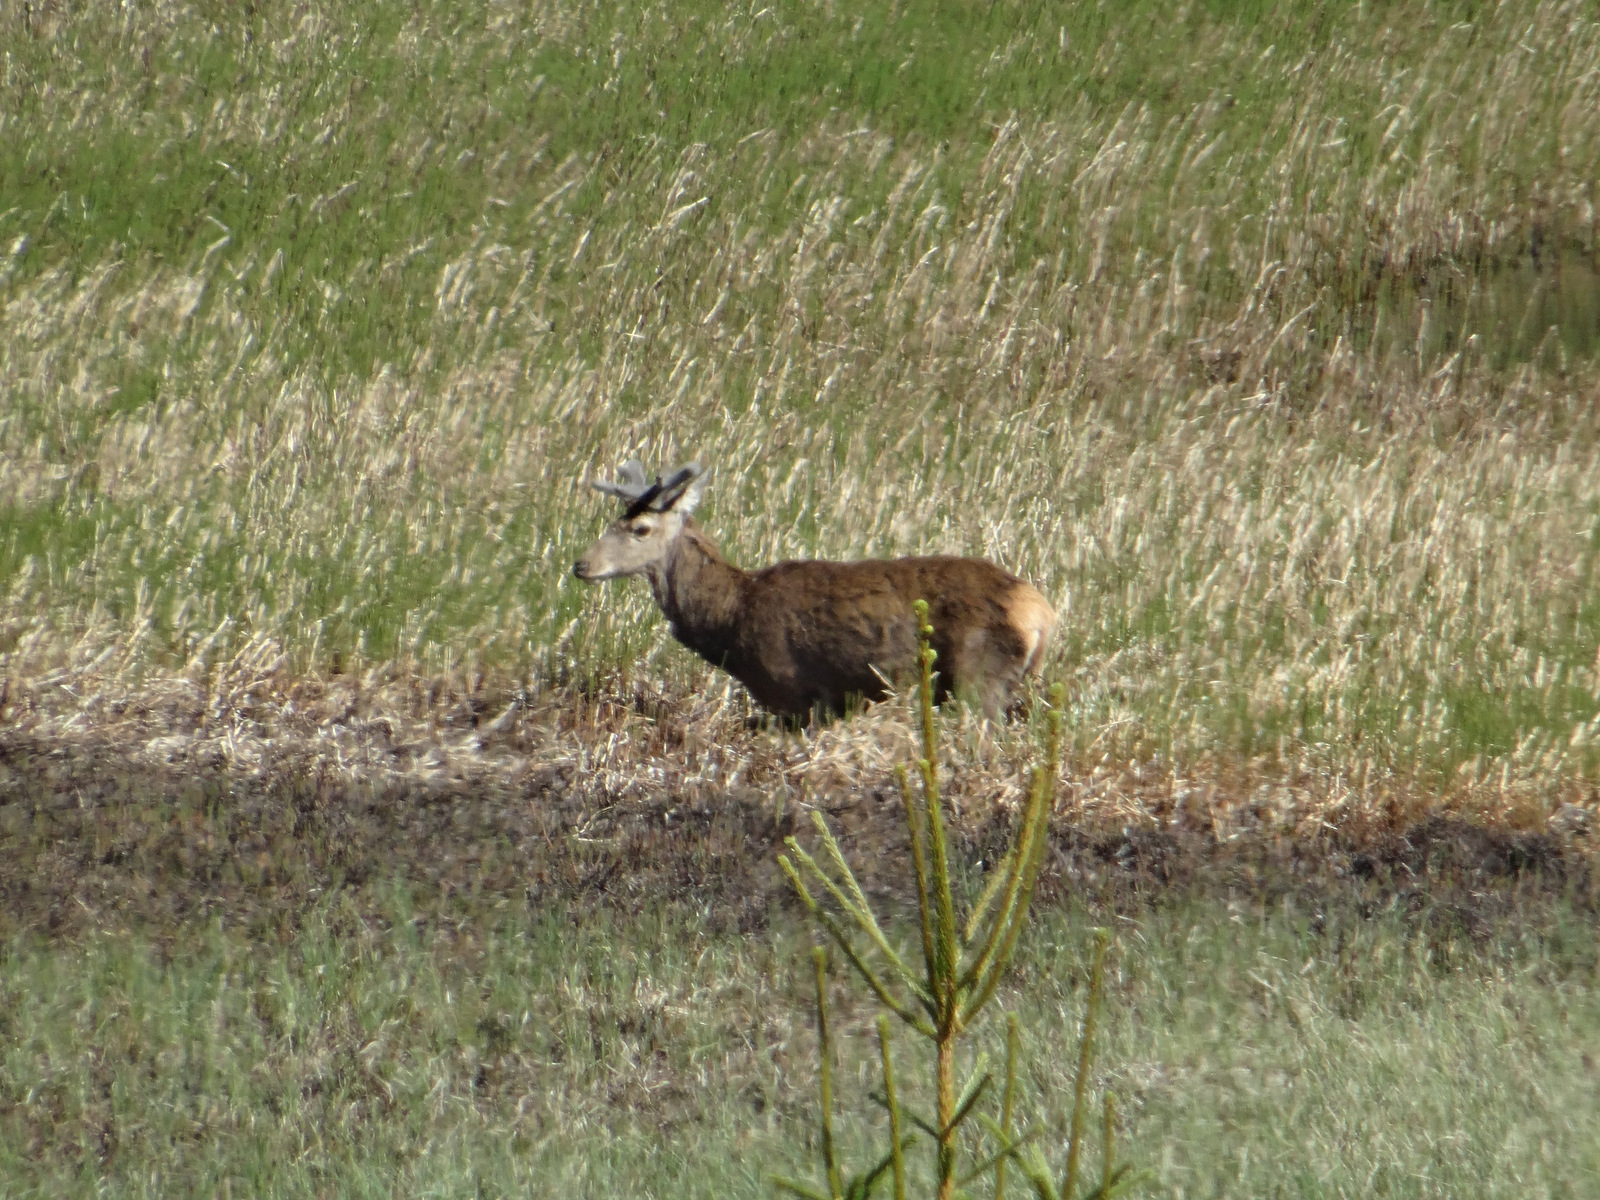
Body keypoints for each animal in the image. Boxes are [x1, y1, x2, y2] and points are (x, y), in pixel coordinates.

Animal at [569, 464, 1056, 720]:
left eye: (641, 529)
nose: (580, 565)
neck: (731, 618)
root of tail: (1043, 614)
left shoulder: (792, 692)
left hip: (980, 676)